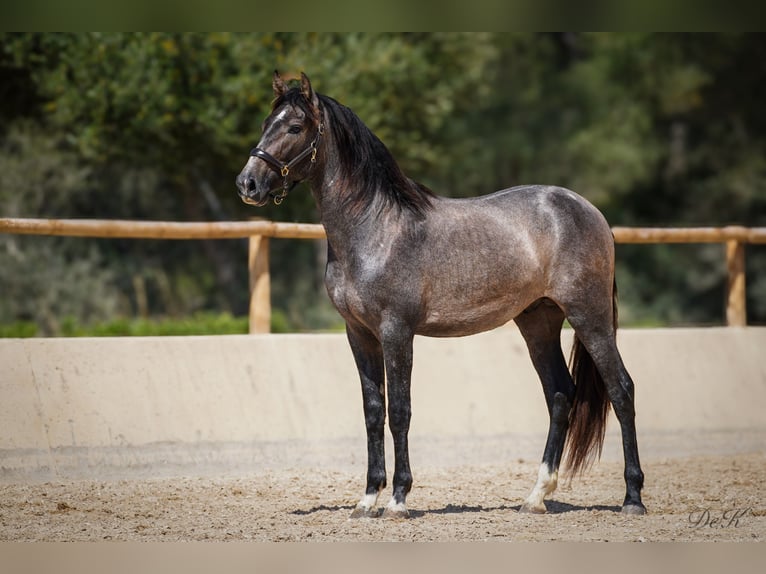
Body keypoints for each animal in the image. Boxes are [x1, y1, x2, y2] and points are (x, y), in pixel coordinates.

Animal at [236, 73, 648, 520]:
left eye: (294, 127)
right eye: (266, 123)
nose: (247, 183)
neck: (374, 228)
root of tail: (589, 211)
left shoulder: (396, 331)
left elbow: (400, 412)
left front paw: (398, 499)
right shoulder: (358, 334)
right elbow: (372, 412)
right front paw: (367, 499)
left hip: (589, 316)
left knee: (621, 390)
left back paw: (632, 498)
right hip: (538, 321)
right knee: (559, 394)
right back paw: (535, 497)